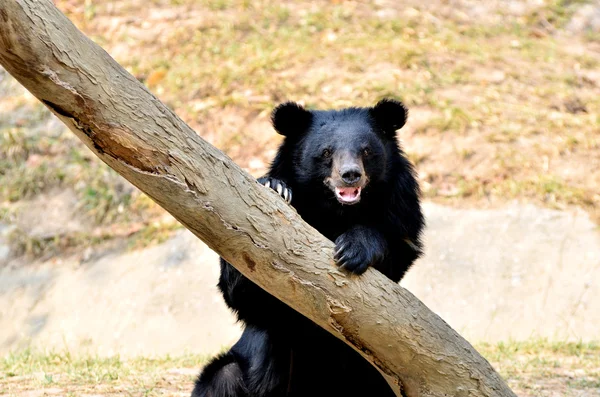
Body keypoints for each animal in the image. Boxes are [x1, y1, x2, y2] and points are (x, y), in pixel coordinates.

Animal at [191, 98, 422, 396]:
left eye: (367, 151)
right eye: (326, 152)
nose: (350, 175)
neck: (337, 211)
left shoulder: (399, 206)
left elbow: (396, 248)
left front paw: (352, 251)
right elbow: (245, 292)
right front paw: (275, 188)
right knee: (223, 376)